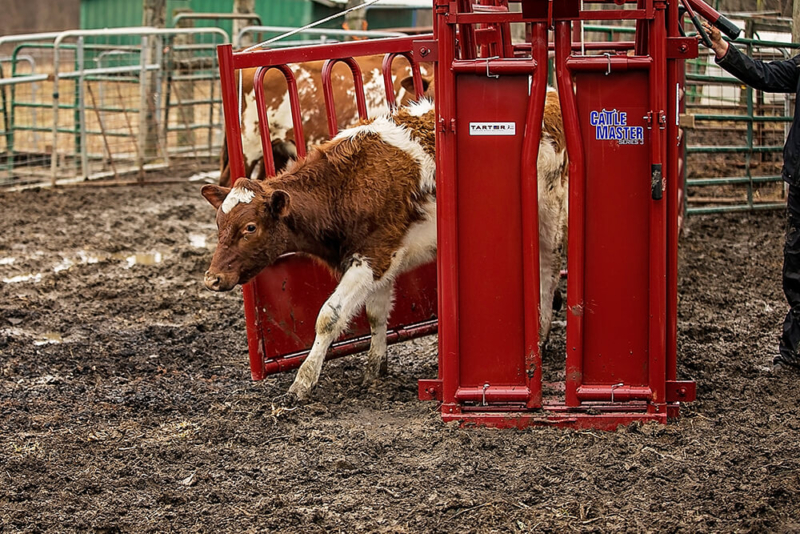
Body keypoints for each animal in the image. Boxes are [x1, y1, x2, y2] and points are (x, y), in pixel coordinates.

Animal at [203, 93, 564, 402]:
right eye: (219, 223)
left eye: (250, 227)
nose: (212, 278)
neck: (344, 186)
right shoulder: (384, 261)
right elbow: (376, 314)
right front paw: (375, 367)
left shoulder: (372, 257)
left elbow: (329, 316)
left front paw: (302, 383)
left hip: (551, 213)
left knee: (548, 270)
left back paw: (542, 334)